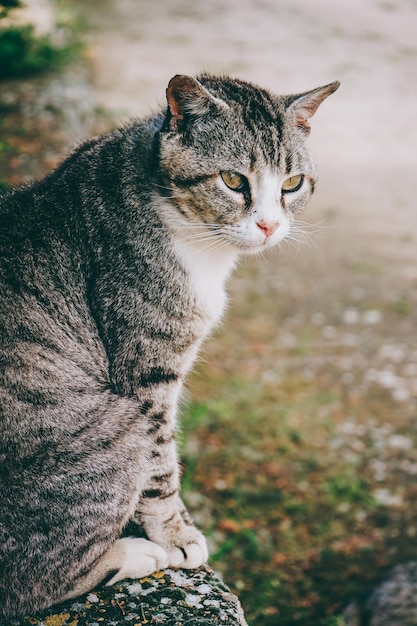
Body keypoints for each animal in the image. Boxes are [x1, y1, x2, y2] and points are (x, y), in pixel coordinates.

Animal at [0, 73, 338, 620]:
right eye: (232, 180)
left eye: (292, 184)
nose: (269, 225)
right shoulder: (146, 370)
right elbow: (161, 464)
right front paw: (175, 532)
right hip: (112, 428)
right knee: (29, 585)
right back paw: (134, 554)